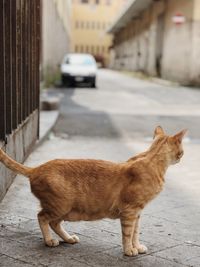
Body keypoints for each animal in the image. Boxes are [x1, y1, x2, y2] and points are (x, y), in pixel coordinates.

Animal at [0, 127, 187, 258]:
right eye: (182, 151)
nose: (182, 157)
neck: (152, 160)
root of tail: (36, 169)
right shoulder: (130, 212)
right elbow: (127, 234)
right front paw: (129, 250)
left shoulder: (137, 213)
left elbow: (135, 233)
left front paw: (137, 246)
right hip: (60, 206)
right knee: (42, 217)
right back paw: (49, 240)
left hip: (67, 210)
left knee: (54, 223)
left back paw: (68, 239)